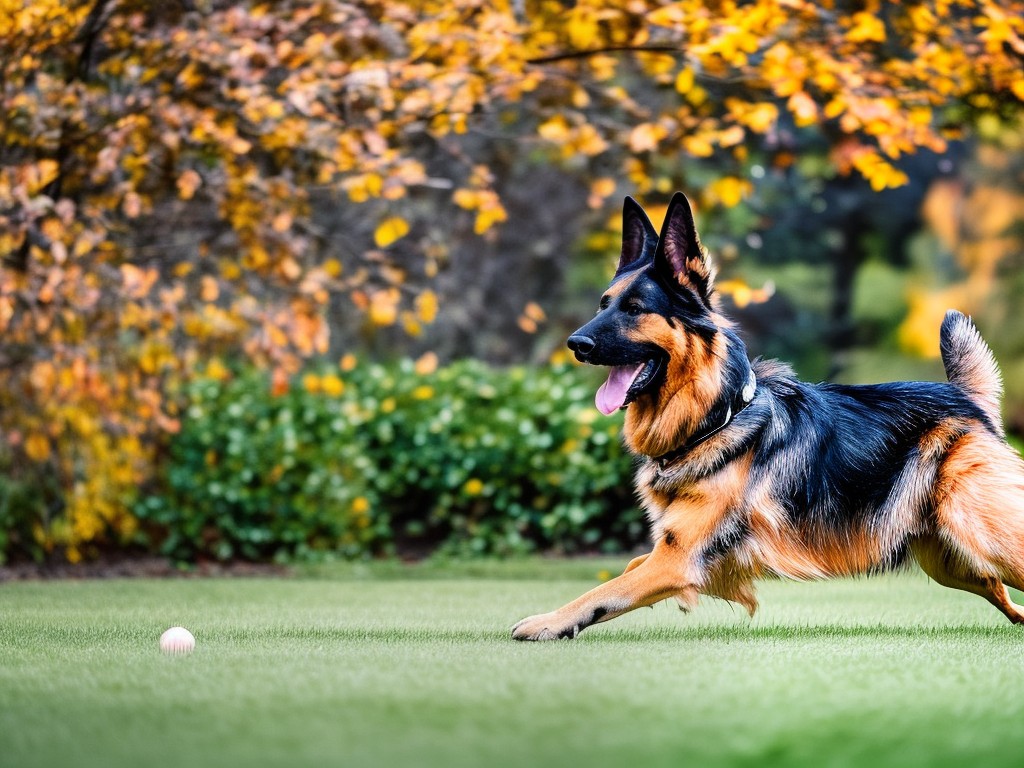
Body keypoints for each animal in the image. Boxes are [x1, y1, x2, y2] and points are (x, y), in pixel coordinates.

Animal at [512, 192, 1024, 643]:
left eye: (635, 309)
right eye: (604, 304)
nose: (575, 344)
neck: (716, 418)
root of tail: (965, 397)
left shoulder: (675, 560)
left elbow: (602, 591)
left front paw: (548, 622)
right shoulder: (674, 555)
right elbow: (626, 570)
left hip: (980, 535)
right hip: (952, 563)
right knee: (999, 589)